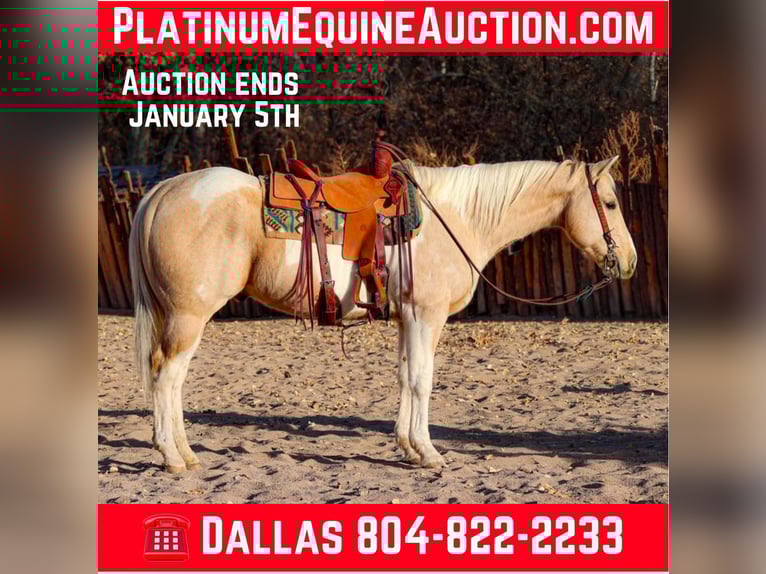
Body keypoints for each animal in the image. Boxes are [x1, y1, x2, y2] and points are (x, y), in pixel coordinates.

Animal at [129, 156, 637, 472]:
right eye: (610, 203)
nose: (629, 262)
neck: (457, 218)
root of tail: (163, 190)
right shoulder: (427, 316)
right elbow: (422, 380)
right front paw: (428, 453)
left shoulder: (407, 319)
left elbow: (405, 376)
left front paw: (408, 448)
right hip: (189, 317)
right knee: (167, 377)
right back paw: (173, 457)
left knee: (170, 379)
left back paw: (185, 453)